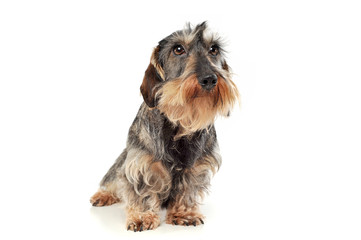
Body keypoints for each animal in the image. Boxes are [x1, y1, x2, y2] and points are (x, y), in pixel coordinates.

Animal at [89, 22, 238, 231]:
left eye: (214, 49)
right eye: (178, 49)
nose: (209, 79)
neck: (180, 124)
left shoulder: (197, 166)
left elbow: (188, 189)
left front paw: (184, 213)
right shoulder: (140, 164)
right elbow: (141, 192)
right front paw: (142, 216)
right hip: (120, 162)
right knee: (112, 180)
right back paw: (102, 195)